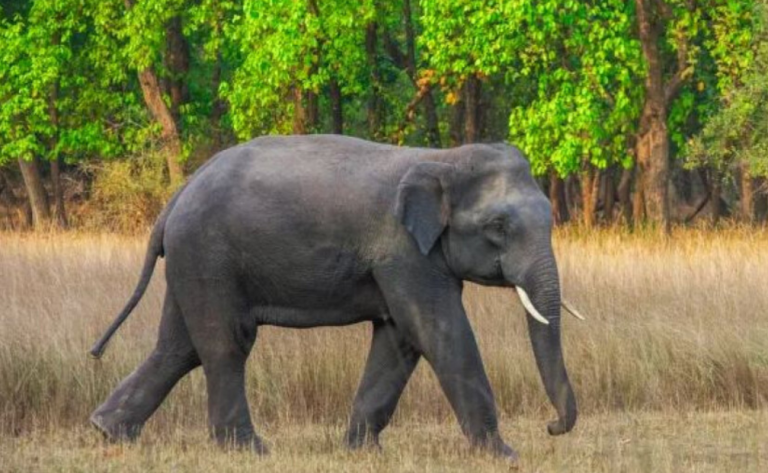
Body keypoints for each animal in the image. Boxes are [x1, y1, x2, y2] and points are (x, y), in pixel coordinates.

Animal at [89, 134, 581, 462]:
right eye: (498, 227)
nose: (552, 426)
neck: (441, 159)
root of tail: (176, 198)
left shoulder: (409, 259)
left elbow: (400, 338)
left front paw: (361, 452)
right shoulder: (403, 250)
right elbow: (439, 331)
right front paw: (505, 456)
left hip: (193, 261)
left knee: (178, 348)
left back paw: (109, 432)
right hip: (209, 255)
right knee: (226, 344)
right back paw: (250, 450)